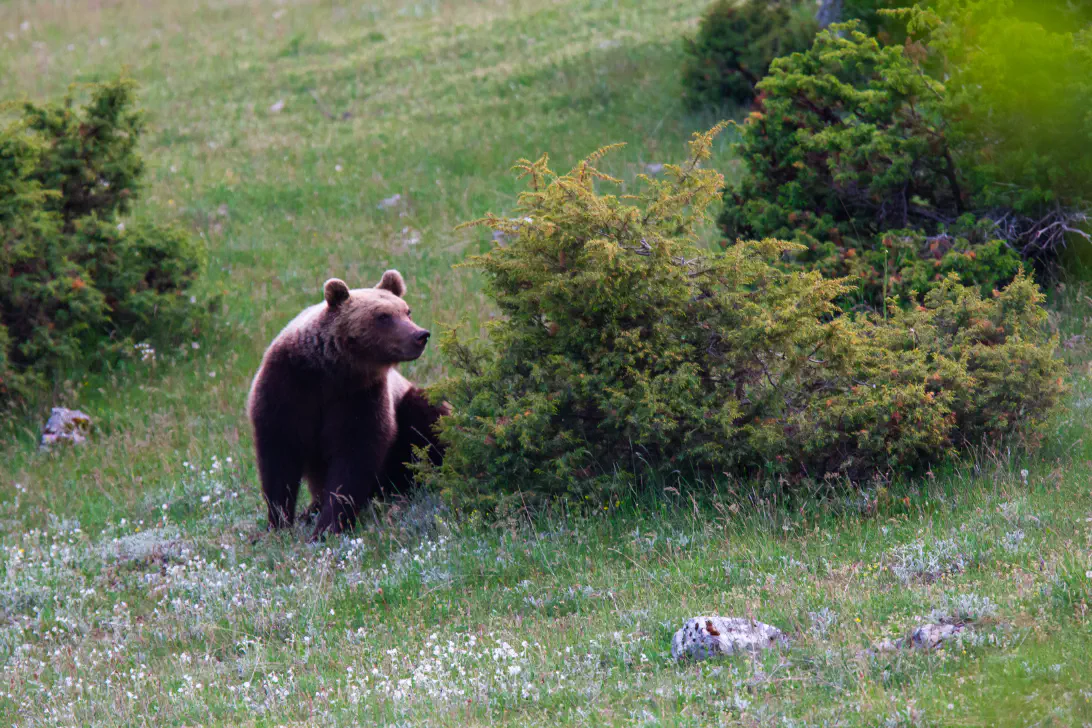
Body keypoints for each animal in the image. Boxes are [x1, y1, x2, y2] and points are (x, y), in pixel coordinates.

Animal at [250, 270, 445, 539]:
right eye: (383, 316)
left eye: (407, 311)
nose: (420, 335)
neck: (332, 370)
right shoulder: (288, 387)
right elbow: (279, 455)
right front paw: (278, 523)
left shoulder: (359, 397)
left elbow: (354, 456)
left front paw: (327, 527)